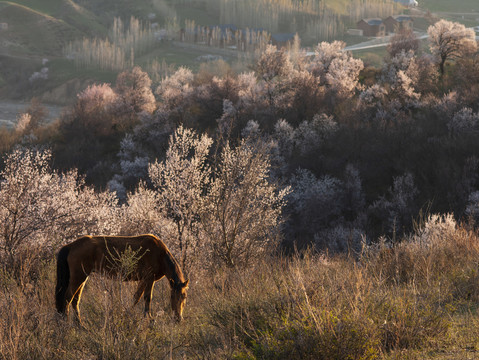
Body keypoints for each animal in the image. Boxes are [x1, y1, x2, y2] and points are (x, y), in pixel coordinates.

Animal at [55, 233, 188, 324]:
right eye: (172, 296)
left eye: (184, 296)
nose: (178, 318)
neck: (160, 254)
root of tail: (71, 245)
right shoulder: (149, 278)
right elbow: (147, 298)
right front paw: (149, 318)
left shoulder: (143, 280)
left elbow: (136, 297)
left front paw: (127, 313)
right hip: (78, 277)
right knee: (67, 298)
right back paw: (66, 323)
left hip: (82, 277)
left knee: (75, 300)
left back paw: (80, 324)